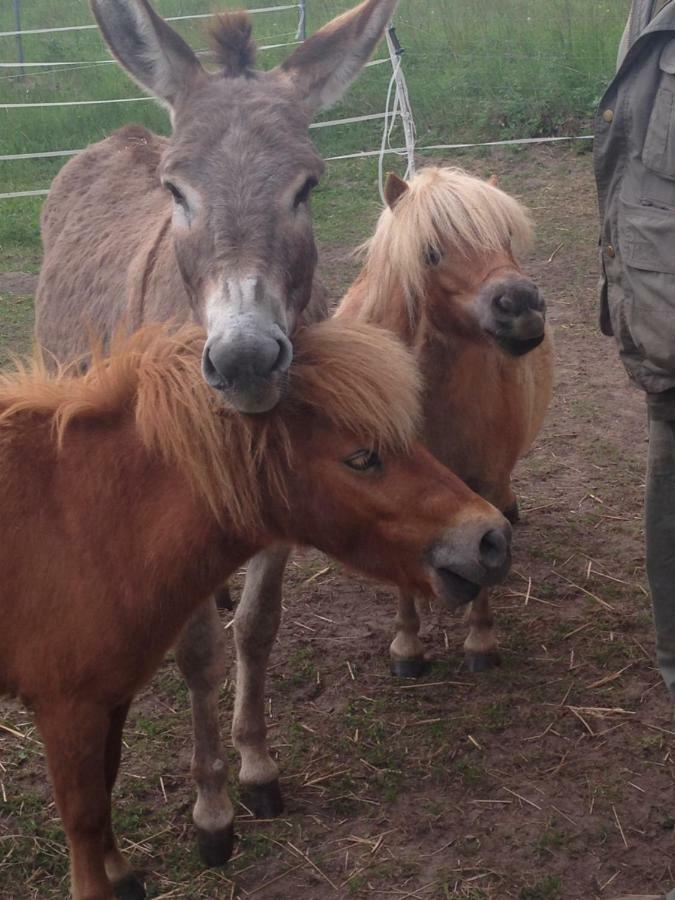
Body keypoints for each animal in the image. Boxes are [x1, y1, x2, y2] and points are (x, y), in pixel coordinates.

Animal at [0, 320, 510, 900]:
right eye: (361, 457)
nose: (491, 537)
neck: (78, 519)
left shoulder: (110, 698)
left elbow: (105, 788)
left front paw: (121, 874)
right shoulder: (67, 710)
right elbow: (84, 819)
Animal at [227, 165, 556, 820]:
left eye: (509, 239)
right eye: (431, 252)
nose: (523, 308)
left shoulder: (478, 482)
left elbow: (487, 559)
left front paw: (481, 641)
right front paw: (408, 647)